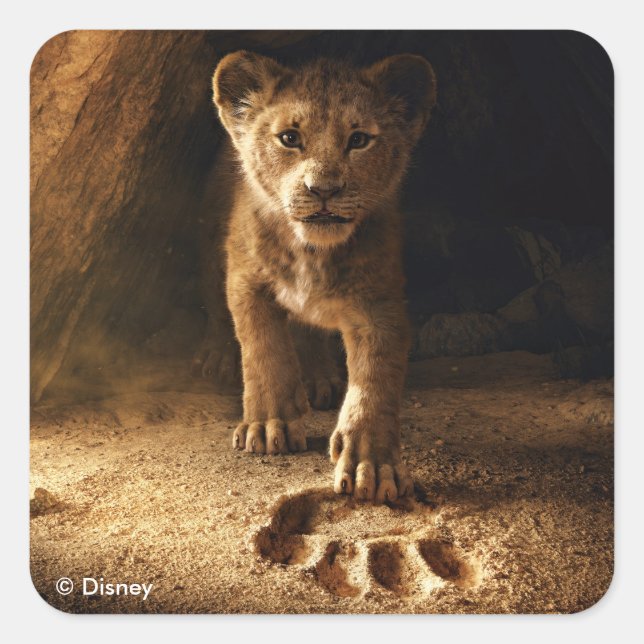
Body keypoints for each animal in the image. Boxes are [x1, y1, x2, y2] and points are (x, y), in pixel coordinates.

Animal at [199, 51, 436, 503]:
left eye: (359, 140)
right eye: (289, 138)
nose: (323, 189)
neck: (312, 251)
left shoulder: (379, 303)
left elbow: (375, 379)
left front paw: (371, 464)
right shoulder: (246, 280)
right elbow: (263, 349)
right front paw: (268, 425)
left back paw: (317, 377)